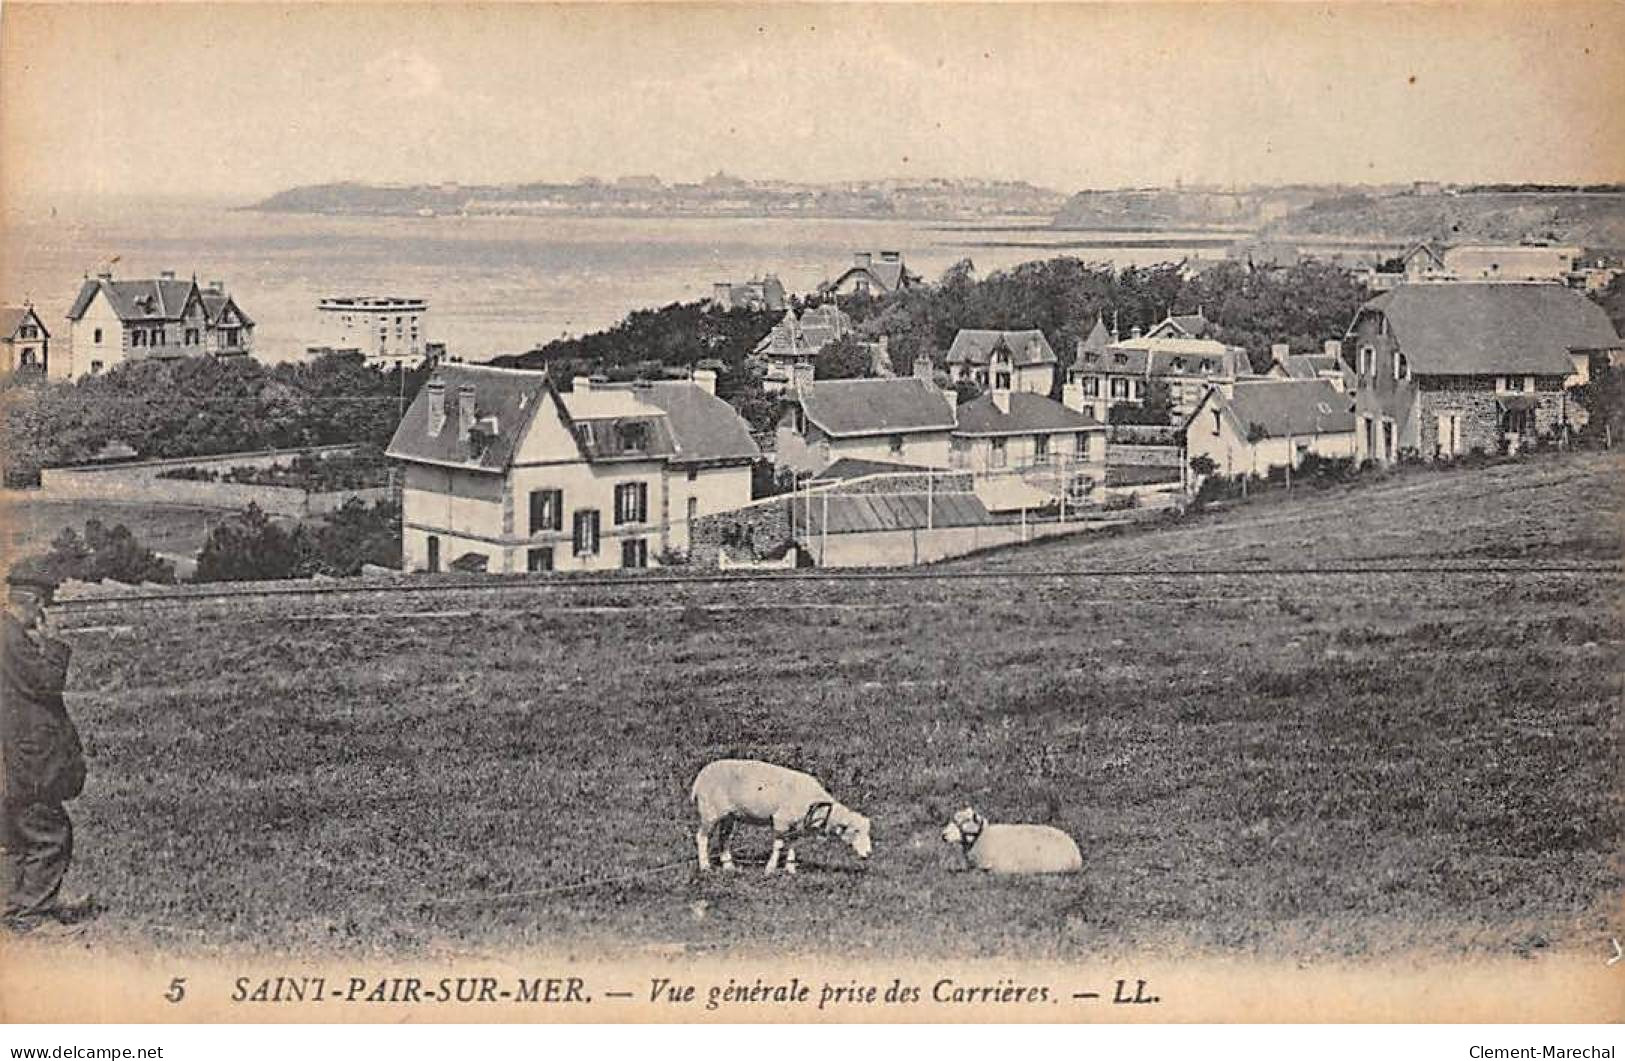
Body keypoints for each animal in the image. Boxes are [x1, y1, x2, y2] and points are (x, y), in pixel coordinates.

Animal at [695, 757, 877, 870]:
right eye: (856, 831)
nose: (869, 853)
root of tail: (700, 776)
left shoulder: (796, 825)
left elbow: (793, 845)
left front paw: (790, 868)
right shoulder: (781, 821)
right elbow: (779, 845)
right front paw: (770, 868)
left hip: (729, 815)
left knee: (724, 837)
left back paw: (728, 866)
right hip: (710, 811)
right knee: (702, 837)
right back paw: (705, 866)